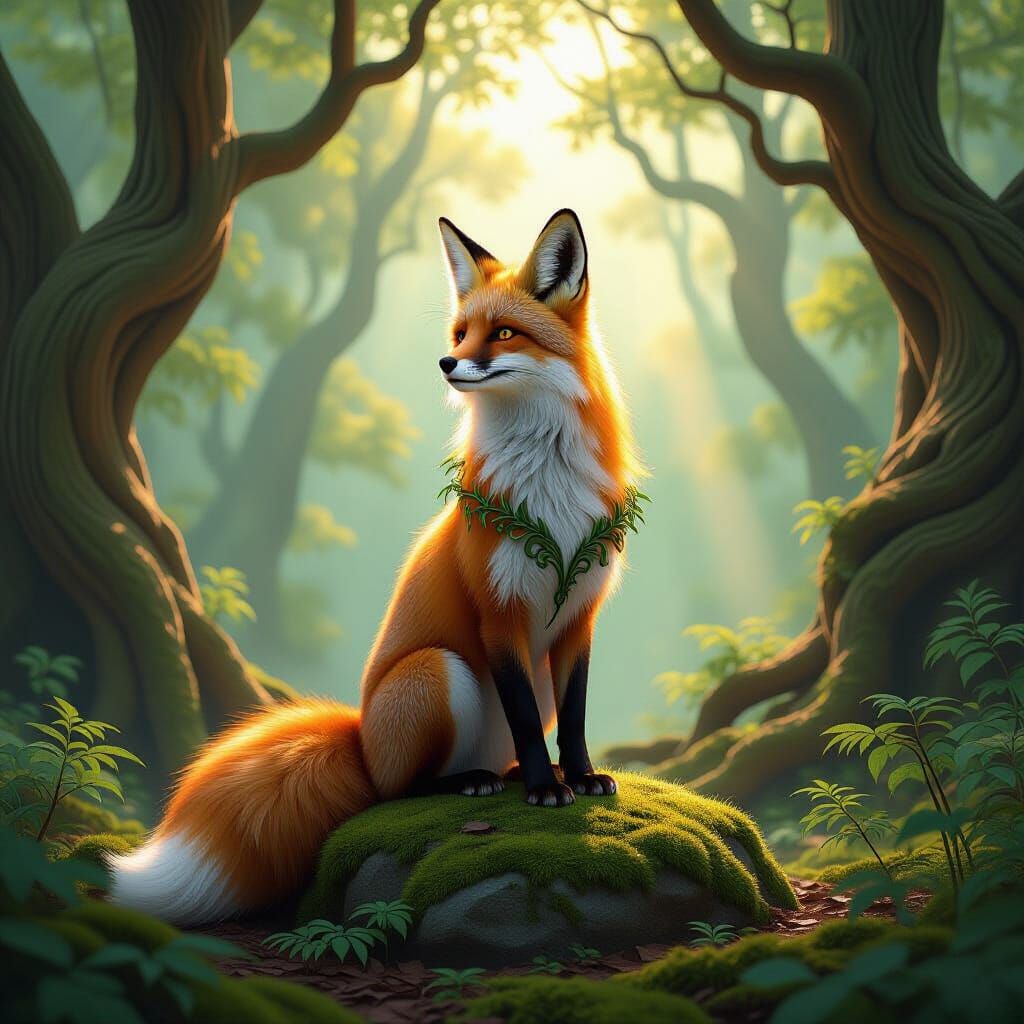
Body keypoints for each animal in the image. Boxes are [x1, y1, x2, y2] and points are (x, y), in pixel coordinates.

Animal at [108, 209, 642, 926]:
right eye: (460, 332)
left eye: (503, 333)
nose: (446, 361)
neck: (548, 501)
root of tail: (360, 737)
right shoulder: (497, 612)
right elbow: (530, 722)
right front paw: (542, 788)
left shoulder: (579, 615)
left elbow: (576, 714)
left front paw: (579, 778)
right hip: (437, 670)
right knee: (396, 790)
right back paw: (467, 782)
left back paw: (499, 776)